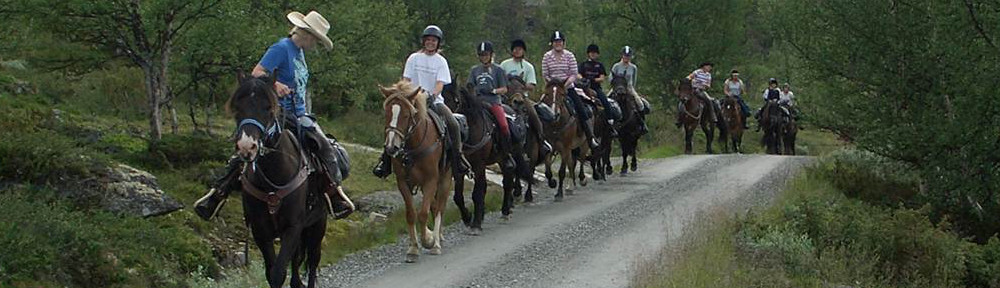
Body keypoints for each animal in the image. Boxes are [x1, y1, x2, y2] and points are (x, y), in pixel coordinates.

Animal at [228, 75, 328, 288]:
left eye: (268, 107)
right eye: (238, 107)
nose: (247, 146)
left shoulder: (293, 227)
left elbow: (279, 272)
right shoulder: (260, 231)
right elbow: (272, 272)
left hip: (318, 224)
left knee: (313, 260)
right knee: (298, 259)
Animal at [378, 80, 450, 260]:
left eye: (405, 115)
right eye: (387, 114)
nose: (391, 147)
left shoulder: (431, 180)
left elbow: (423, 213)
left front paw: (429, 241)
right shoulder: (403, 182)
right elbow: (411, 214)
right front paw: (413, 248)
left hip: (445, 179)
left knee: (440, 207)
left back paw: (437, 241)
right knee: (434, 206)